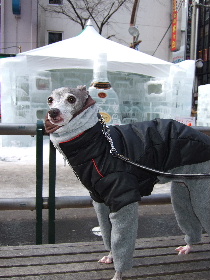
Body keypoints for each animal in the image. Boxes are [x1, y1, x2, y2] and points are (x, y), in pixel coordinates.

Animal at [45, 85, 210, 280]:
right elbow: (107, 232)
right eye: (50, 99)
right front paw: (110, 257)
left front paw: (118, 272)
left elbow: (121, 240)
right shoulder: (100, 201)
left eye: (71, 99)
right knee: (188, 215)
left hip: (201, 189)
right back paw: (188, 246)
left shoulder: (123, 198)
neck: (99, 146)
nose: (53, 112)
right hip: (183, 189)